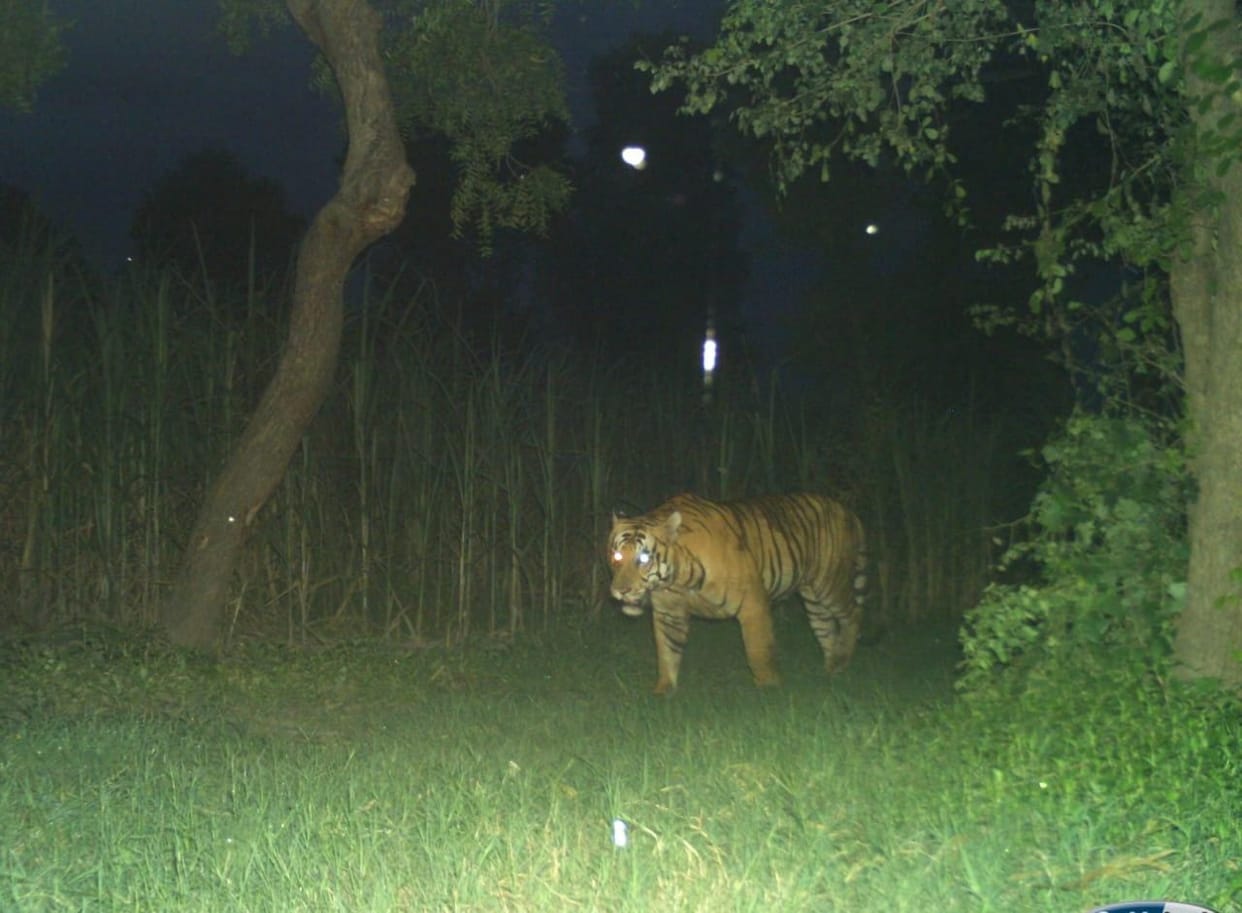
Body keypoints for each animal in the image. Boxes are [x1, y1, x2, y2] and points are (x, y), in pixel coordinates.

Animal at [607, 492, 866, 694]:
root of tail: (846, 509)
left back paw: (843, 660)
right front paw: (663, 692)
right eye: (617, 556)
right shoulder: (669, 613)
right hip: (813, 599)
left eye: (643, 559)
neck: (678, 578)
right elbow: (667, 652)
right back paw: (831, 671)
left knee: (852, 614)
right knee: (827, 628)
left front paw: (770, 690)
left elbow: (758, 650)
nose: (621, 591)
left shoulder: (753, 604)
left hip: (830, 583)